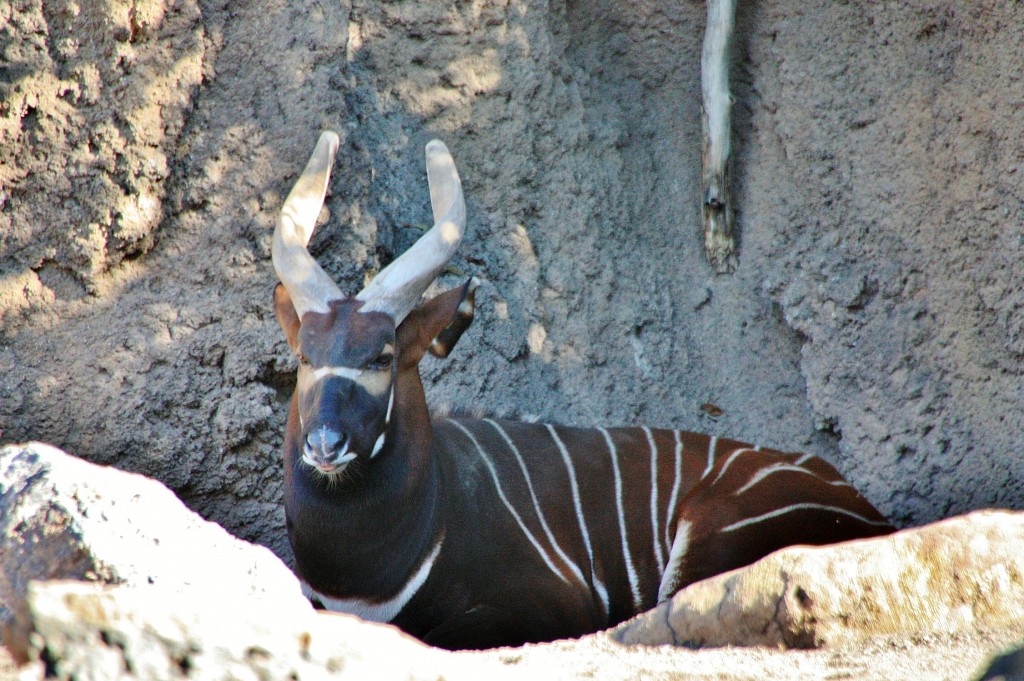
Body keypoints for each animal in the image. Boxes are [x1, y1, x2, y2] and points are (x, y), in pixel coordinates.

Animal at [274, 133, 897, 647]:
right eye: (306, 355)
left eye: (381, 356)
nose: (324, 444)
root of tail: (869, 513)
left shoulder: (555, 602)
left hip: (712, 531)